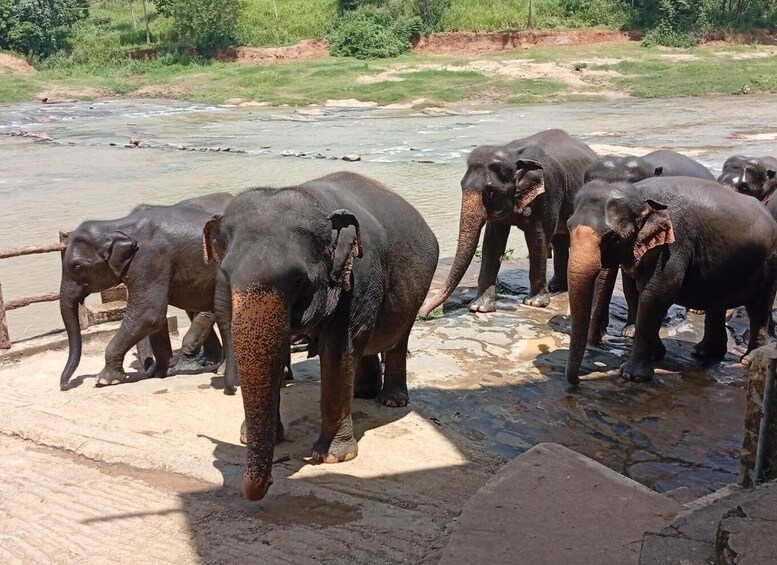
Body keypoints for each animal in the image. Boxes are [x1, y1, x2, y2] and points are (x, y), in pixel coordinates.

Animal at [59, 192, 233, 391]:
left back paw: (220, 370)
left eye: (77, 266)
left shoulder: (150, 260)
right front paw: (158, 373)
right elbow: (156, 318)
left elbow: (148, 314)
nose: (65, 385)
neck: (117, 225)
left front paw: (104, 380)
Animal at [203, 171, 439, 501]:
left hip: (416, 292)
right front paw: (253, 438)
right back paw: (362, 393)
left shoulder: (357, 277)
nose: (271, 480)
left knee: (397, 338)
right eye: (225, 274)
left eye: (299, 280)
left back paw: (391, 401)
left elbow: (338, 351)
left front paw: (334, 457)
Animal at [419, 129, 596, 317]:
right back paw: (556, 287)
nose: (423, 314)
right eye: (461, 185)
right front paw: (480, 308)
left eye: (490, 192)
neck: (512, 153)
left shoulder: (548, 190)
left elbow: (537, 238)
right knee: (559, 238)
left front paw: (534, 303)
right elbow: (492, 241)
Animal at [565, 177, 777, 391]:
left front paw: (632, 376)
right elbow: (639, 291)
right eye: (568, 227)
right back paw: (705, 352)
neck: (638, 193)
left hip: (769, 263)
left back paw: (748, 360)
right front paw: (655, 355)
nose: (578, 382)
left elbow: (656, 294)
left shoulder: (674, 245)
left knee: (758, 307)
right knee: (717, 304)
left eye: (613, 237)